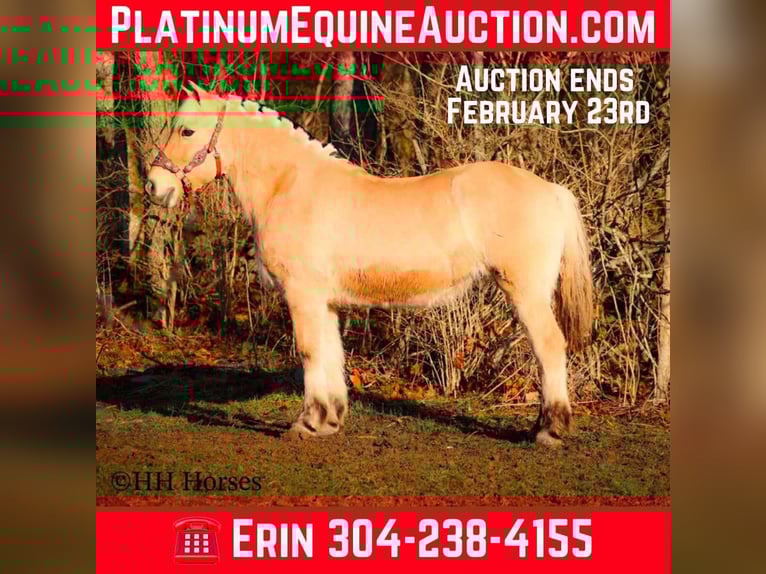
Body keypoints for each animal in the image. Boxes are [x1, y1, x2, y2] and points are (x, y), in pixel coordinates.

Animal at [145, 83, 594, 447]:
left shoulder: (302, 296)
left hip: (527, 293)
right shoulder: (324, 302)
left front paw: (306, 423)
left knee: (550, 347)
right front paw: (328, 420)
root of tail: (551, 190)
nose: (154, 186)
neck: (291, 185)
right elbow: (331, 354)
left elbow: (309, 353)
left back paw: (549, 430)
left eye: (186, 130)